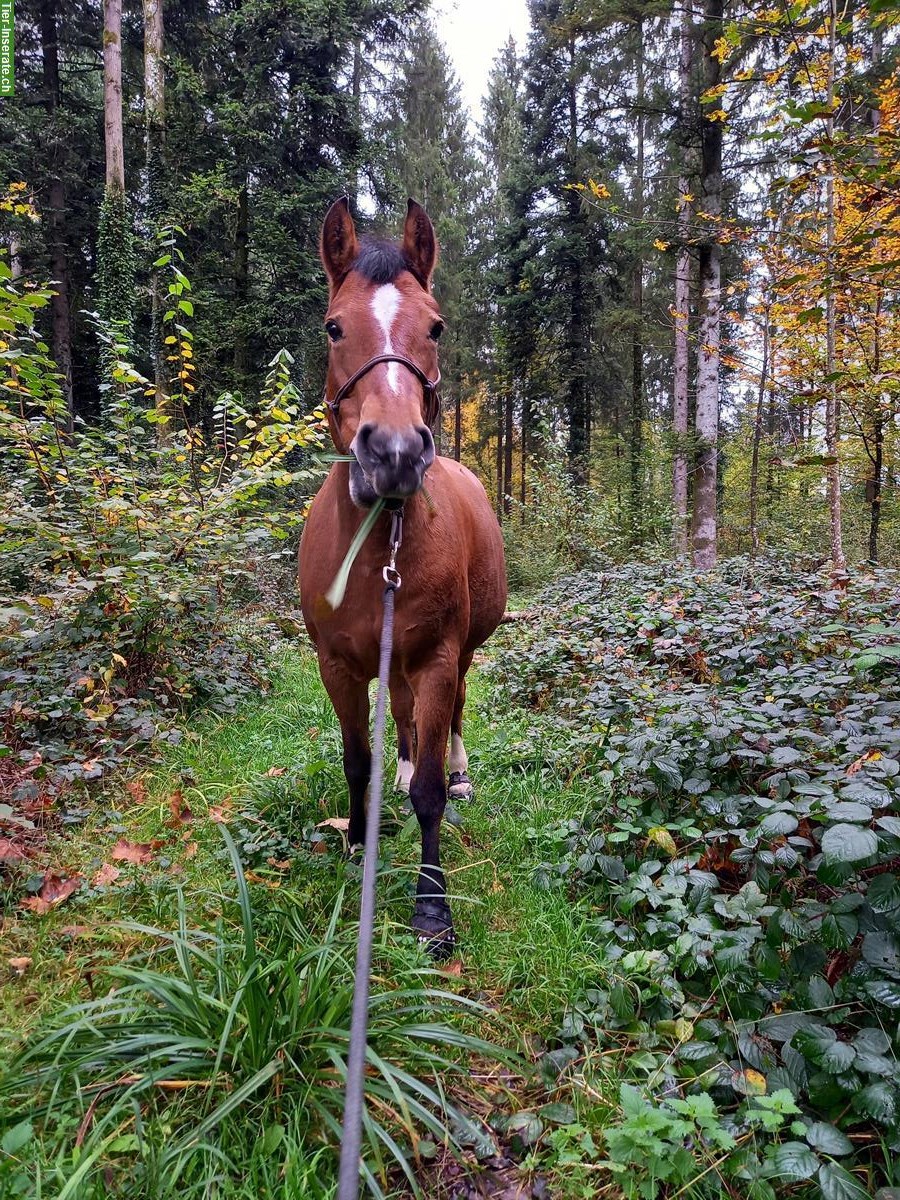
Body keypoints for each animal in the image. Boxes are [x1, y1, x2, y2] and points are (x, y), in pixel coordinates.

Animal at [297, 204, 504, 955]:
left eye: (435, 326)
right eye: (333, 326)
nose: (393, 452)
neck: (378, 544)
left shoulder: (439, 656)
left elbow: (431, 794)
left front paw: (432, 906)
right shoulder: (336, 665)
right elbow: (358, 761)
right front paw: (359, 841)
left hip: (460, 654)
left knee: (454, 713)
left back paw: (459, 768)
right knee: (410, 723)